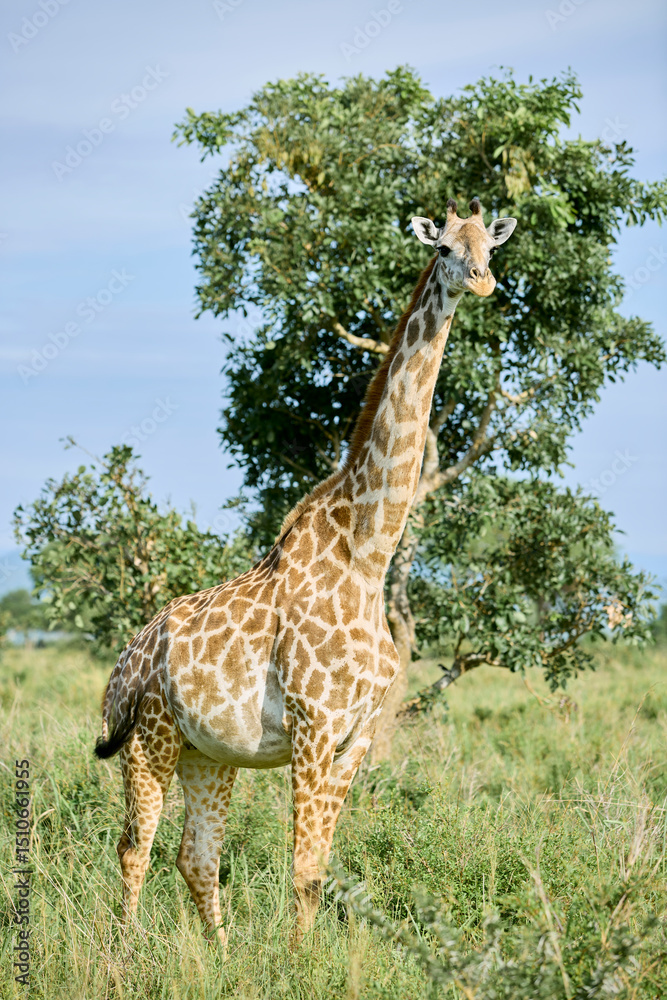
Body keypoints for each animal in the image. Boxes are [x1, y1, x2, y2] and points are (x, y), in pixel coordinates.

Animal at [95, 197, 517, 946]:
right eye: (442, 248)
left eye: (488, 247)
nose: (482, 281)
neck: (367, 554)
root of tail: (123, 662)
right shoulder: (314, 727)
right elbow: (300, 869)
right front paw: (298, 961)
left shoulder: (355, 737)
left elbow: (317, 869)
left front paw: (300, 957)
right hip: (148, 737)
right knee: (135, 846)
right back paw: (124, 955)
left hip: (210, 753)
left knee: (195, 855)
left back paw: (220, 957)